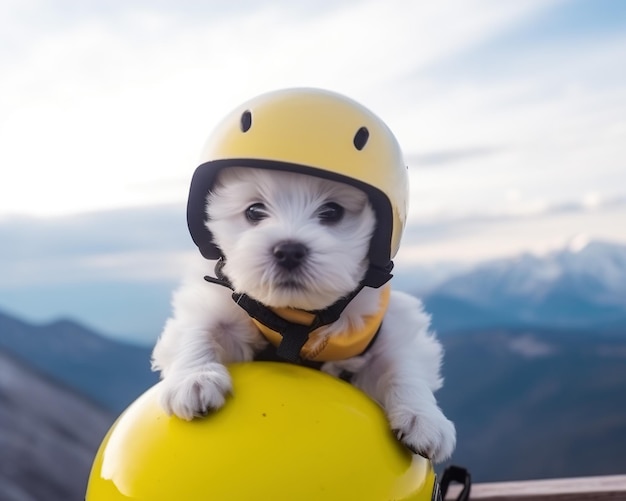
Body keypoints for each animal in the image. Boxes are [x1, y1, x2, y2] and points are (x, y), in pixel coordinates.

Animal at [151, 167, 454, 460]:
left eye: (332, 211)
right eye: (254, 211)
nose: (288, 251)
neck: (298, 316)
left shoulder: (389, 321)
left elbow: (402, 361)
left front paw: (423, 417)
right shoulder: (215, 301)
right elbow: (198, 327)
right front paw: (194, 378)